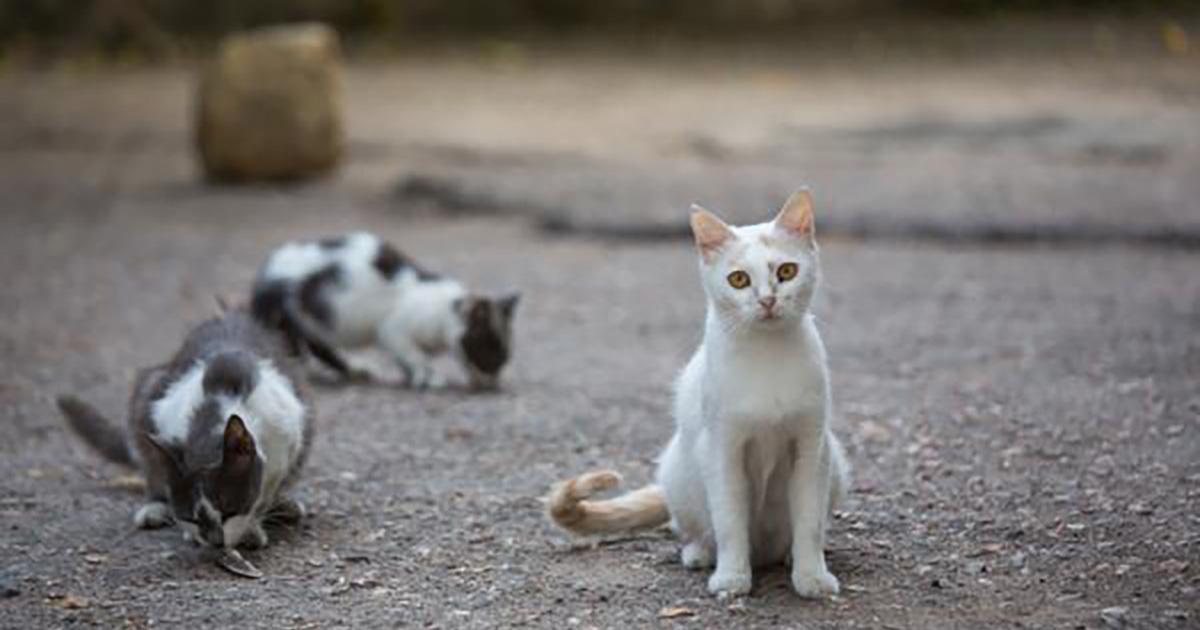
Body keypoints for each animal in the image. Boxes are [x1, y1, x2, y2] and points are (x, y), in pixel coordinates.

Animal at [57, 307, 312, 564]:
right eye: (192, 518)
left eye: (230, 511)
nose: (215, 541)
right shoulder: (161, 411)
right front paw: (192, 533)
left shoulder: (288, 428)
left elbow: (266, 490)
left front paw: (252, 526)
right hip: (148, 390)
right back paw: (155, 507)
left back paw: (285, 505)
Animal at [250, 230, 518, 388]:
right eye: (491, 350)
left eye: (505, 357)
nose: (493, 380)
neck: (443, 311)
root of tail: (265, 273)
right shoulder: (394, 330)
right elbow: (414, 354)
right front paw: (427, 377)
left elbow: (406, 359)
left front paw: (412, 375)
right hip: (293, 313)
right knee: (297, 344)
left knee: (317, 346)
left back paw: (354, 370)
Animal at [549, 190, 849, 600]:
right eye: (738, 279)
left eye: (787, 272)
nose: (767, 300)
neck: (767, 354)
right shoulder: (722, 448)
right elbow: (729, 521)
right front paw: (732, 578)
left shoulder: (811, 448)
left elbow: (809, 522)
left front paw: (812, 577)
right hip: (678, 469)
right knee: (695, 527)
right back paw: (701, 553)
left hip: (836, 462)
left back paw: (787, 556)